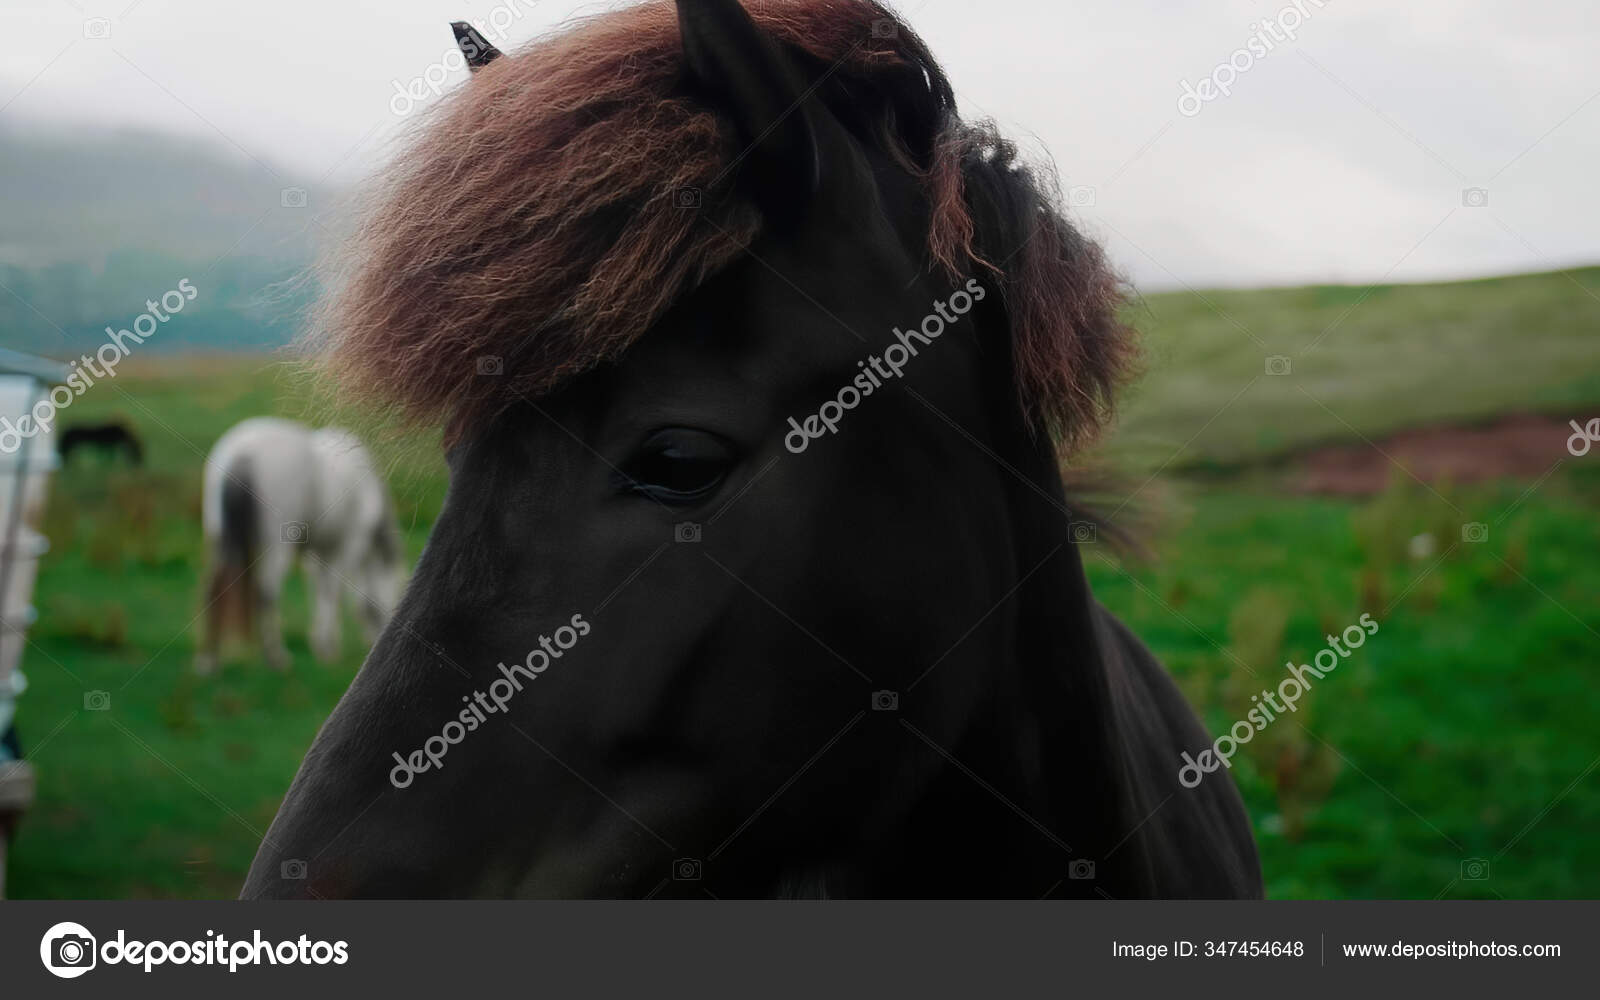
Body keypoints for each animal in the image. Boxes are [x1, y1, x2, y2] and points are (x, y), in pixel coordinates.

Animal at [196, 412, 403, 672]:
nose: (376, 643)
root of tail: (243, 453)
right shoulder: (348, 545)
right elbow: (333, 591)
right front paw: (329, 646)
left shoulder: (318, 553)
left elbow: (320, 589)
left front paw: (320, 642)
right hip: (276, 548)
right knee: (266, 593)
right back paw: (276, 657)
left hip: (220, 539)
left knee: (213, 590)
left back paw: (209, 660)